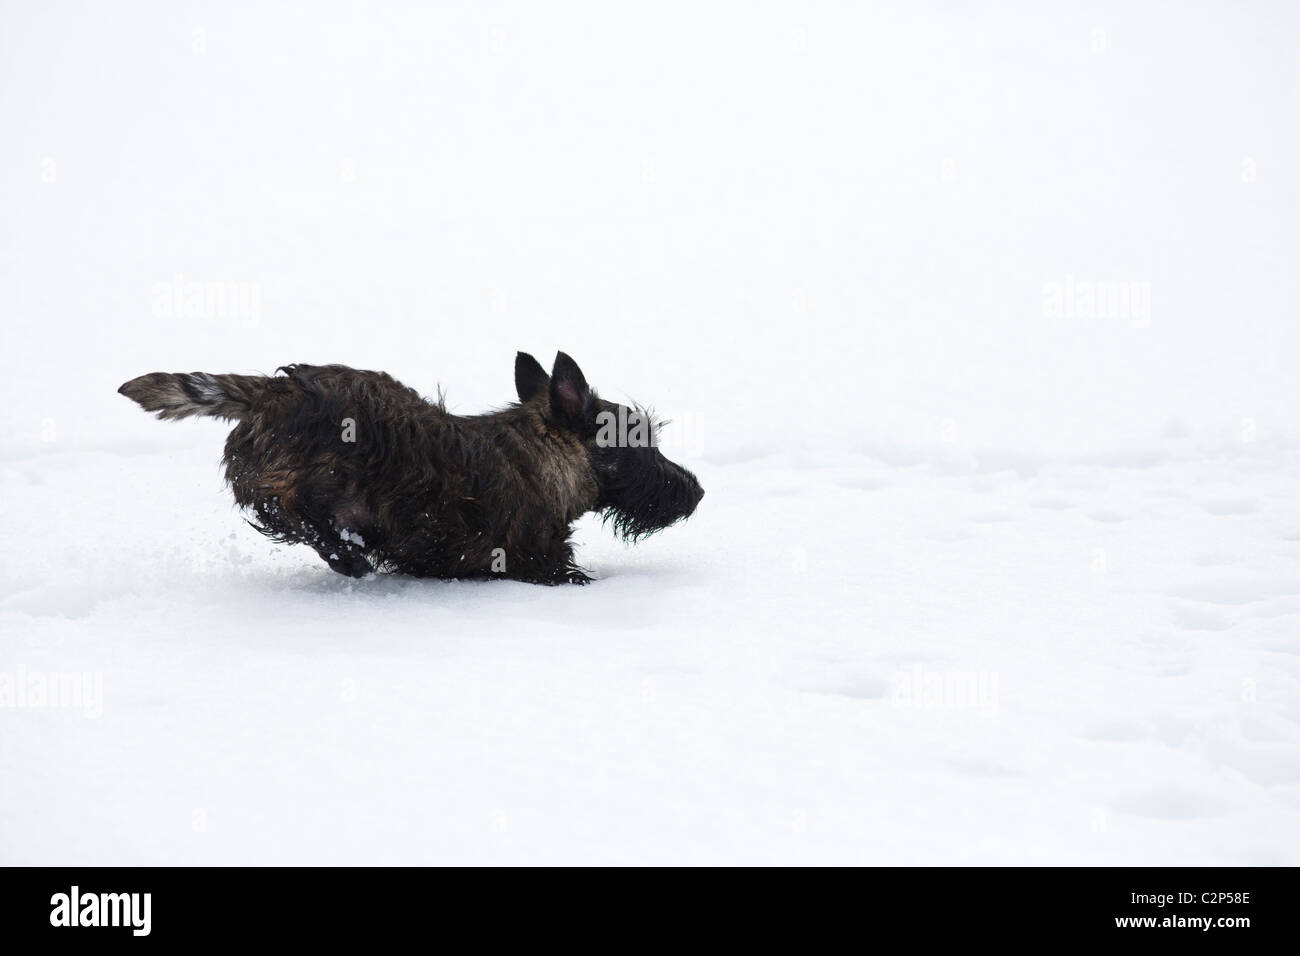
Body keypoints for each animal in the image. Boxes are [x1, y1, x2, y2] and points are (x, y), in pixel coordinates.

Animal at [118, 353, 707, 582]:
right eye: (641, 442)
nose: (696, 491)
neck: (544, 453)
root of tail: (278, 391)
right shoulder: (541, 562)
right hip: (320, 474)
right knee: (293, 509)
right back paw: (350, 554)